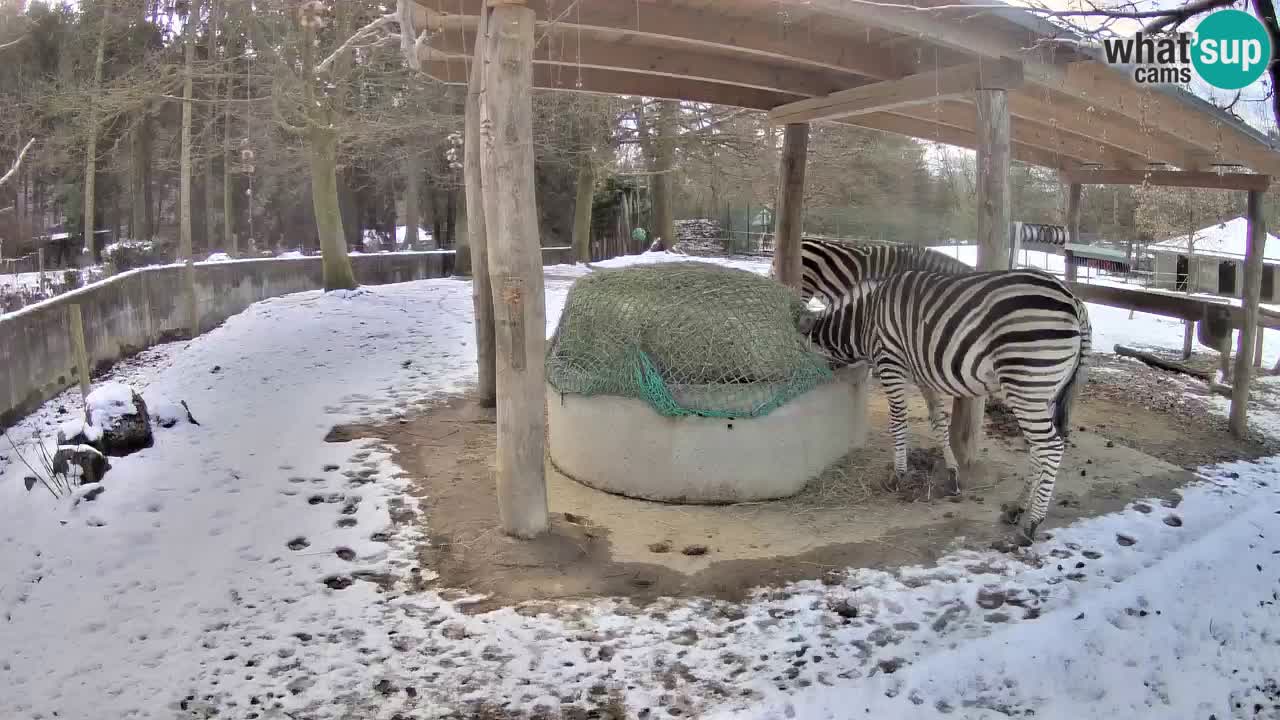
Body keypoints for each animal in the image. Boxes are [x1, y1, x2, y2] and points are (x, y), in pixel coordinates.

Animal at [798, 266, 1090, 540]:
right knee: (1039, 448)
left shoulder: (891, 362)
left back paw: (1032, 524)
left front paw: (898, 474)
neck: (864, 321)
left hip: (1026, 383)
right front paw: (952, 476)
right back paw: (1017, 508)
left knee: (1050, 447)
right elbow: (938, 423)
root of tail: (1073, 298)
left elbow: (898, 421)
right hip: (1045, 392)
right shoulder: (922, 373)